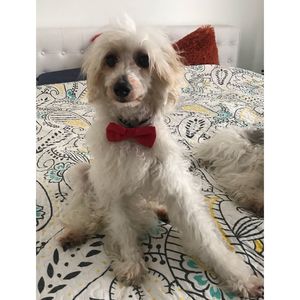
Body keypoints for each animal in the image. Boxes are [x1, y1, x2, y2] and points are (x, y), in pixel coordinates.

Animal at [58, 19, 262, 298]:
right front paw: (132, 265)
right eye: (110, 59)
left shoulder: (177, 188)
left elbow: (206, 238)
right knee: (89, 213)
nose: (121, 87)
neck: (132, 132)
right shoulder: (114, 193)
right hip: (83, 174)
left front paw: (238, 277)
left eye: (144, 59)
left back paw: (160, 209)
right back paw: (77, 232)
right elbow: (123, 231)